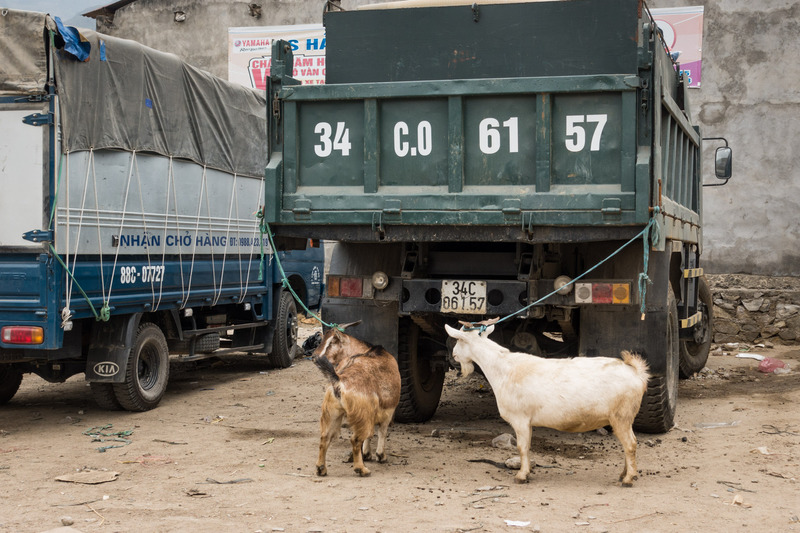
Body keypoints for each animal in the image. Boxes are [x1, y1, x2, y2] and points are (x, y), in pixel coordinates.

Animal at [312, 324, 400, 478]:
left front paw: (367, 454)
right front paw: (380, 455)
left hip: (332, 412)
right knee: (355, 439)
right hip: (362, 414)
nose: (314, 357)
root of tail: (339, 380)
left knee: (325, 438)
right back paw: (361, 469)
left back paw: (321, 468)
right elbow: (382, 431)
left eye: (331, 342)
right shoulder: (388, 410)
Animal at [444, 322, 648, 484]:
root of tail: (636, 372)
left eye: (458, 341)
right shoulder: (527, 421)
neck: (503, 368)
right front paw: (526, 472)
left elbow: (521, 447)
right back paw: (624, 475)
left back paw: (628, 479)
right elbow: (527, 447)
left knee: (630, 444)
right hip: (624, 418)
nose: (453, 355)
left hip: (621, 416)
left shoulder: (520, 419)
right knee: (629, 444)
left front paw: (521, 476)